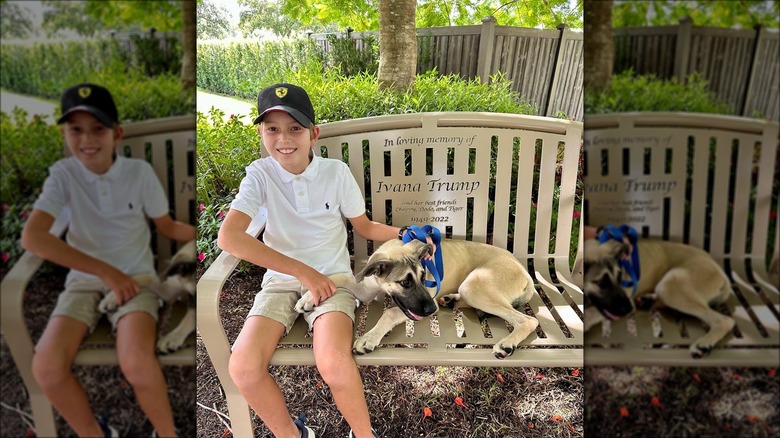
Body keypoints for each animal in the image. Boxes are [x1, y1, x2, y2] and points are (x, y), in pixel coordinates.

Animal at [296, 240, 540, 360]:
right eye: (405, 282)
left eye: (424, 277)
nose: (432, 310)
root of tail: (525, 272)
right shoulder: (365, 287)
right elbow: (337, 277)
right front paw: (310, 296)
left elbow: (390, 312)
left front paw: (368, 338)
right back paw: (450, 299)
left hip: (474, 285)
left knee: (528, 320)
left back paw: (506, 344)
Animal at [588, 238, 736, 358]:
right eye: (601, 282)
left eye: (616, 278)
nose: (629, 308)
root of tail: (722, 272)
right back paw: (647, 300)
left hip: (670, 285)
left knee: (725, 321)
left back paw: (703, 345)